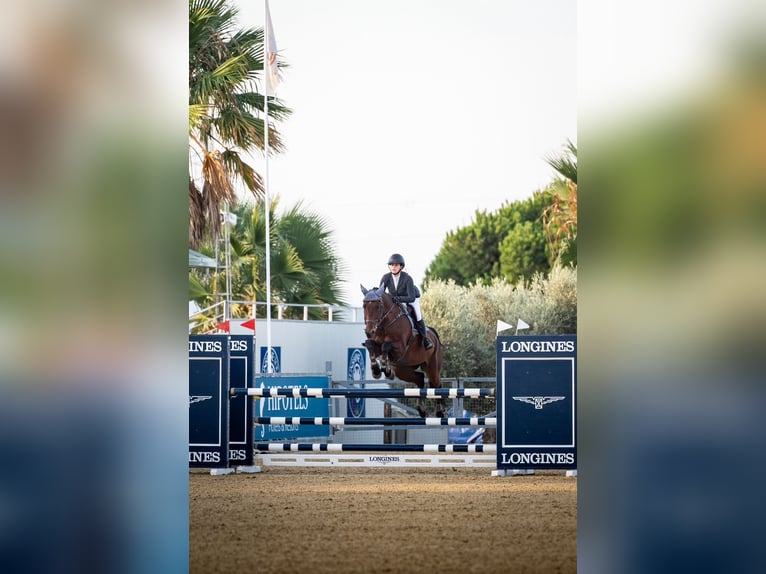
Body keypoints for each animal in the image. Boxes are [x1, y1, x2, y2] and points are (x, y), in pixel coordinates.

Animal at [362, 284, 448, 416]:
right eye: (364, 306)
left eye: (378, 307)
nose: (369, 331)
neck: (385, 324)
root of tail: (434, 335)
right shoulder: (376, 347)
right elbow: (370, 345)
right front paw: (377, 370)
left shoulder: (401, 348)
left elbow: (386, 346)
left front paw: (385, 368)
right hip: (403, 369)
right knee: (420, 378)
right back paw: (421, 409)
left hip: (432, 367)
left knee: (436, 384)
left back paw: (439, 412)